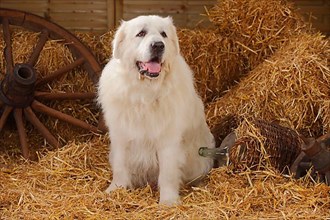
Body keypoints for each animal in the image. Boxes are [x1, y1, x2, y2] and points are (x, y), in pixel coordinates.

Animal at [96, 15, 215, 205]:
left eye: (163, 34)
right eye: (141, 33)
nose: (158, 45)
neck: (145, 92)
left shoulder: (168, 141)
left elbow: (167, 174)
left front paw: (168, 202)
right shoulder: (121, 136)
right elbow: (120, 167)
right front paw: (115, 191)